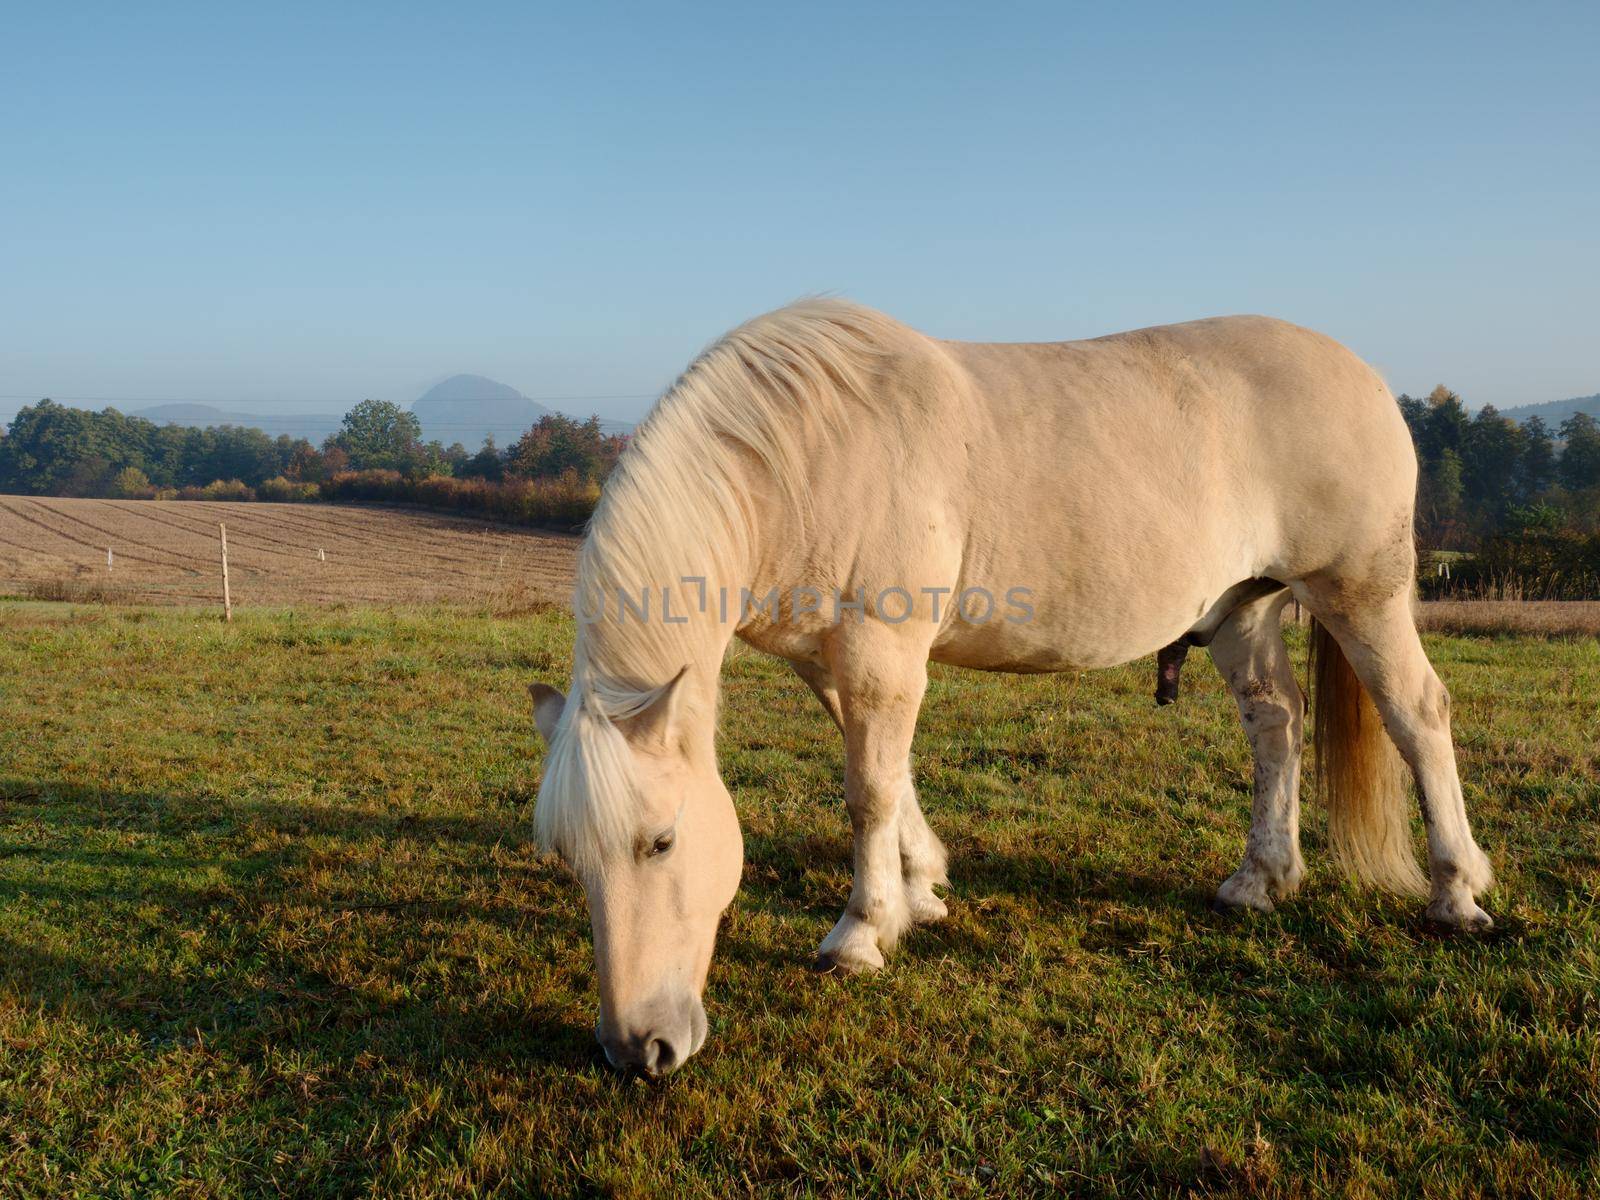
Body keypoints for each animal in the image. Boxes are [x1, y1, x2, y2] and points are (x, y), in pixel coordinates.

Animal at [531, 300, 1491, 1081]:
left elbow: (868, 789)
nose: (637, 1050)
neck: (807, 449)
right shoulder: (834, 662)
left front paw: (860, 934)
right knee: (1276, 724)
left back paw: (1456, 892)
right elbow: (891, 776)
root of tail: (1364, 377)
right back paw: (1263, 877)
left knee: (1418, 716)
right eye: (570, 858)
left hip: (1359, 593)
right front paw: (921, 891)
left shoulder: (880, 648)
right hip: (1243, 609)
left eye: (660, 843)